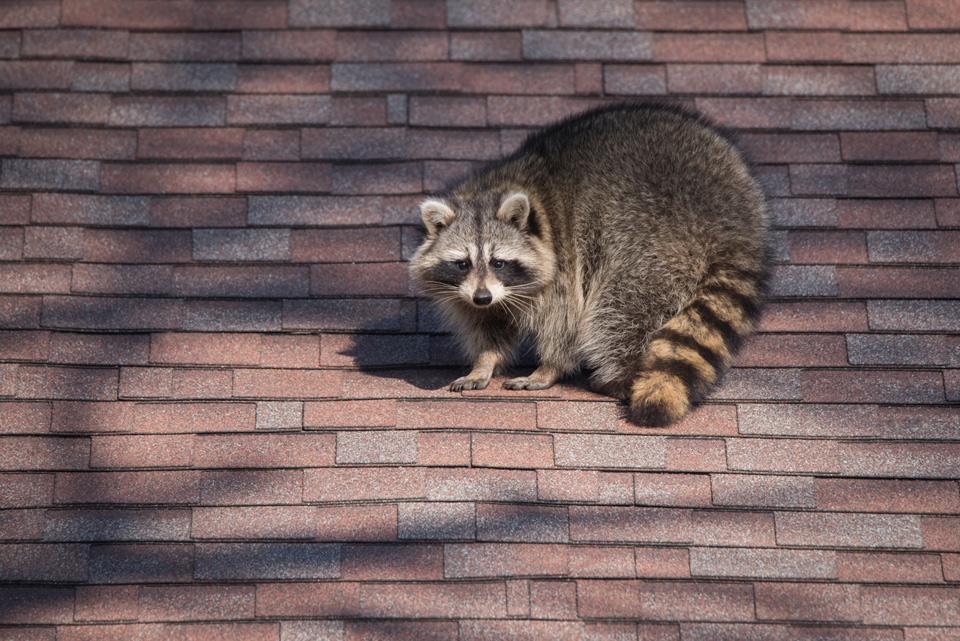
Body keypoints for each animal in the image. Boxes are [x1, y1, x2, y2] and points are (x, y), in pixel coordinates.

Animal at [408, 102, 768, 424]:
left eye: (498, 263)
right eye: (462, 264)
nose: (482, 297)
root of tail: (733, 221)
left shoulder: (565, 262)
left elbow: (566, 320)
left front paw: (547, 369)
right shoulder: (475, 293)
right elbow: (489, 325)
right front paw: (484, 361)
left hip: (651, 236)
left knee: (622, 308)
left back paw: (620, 374)